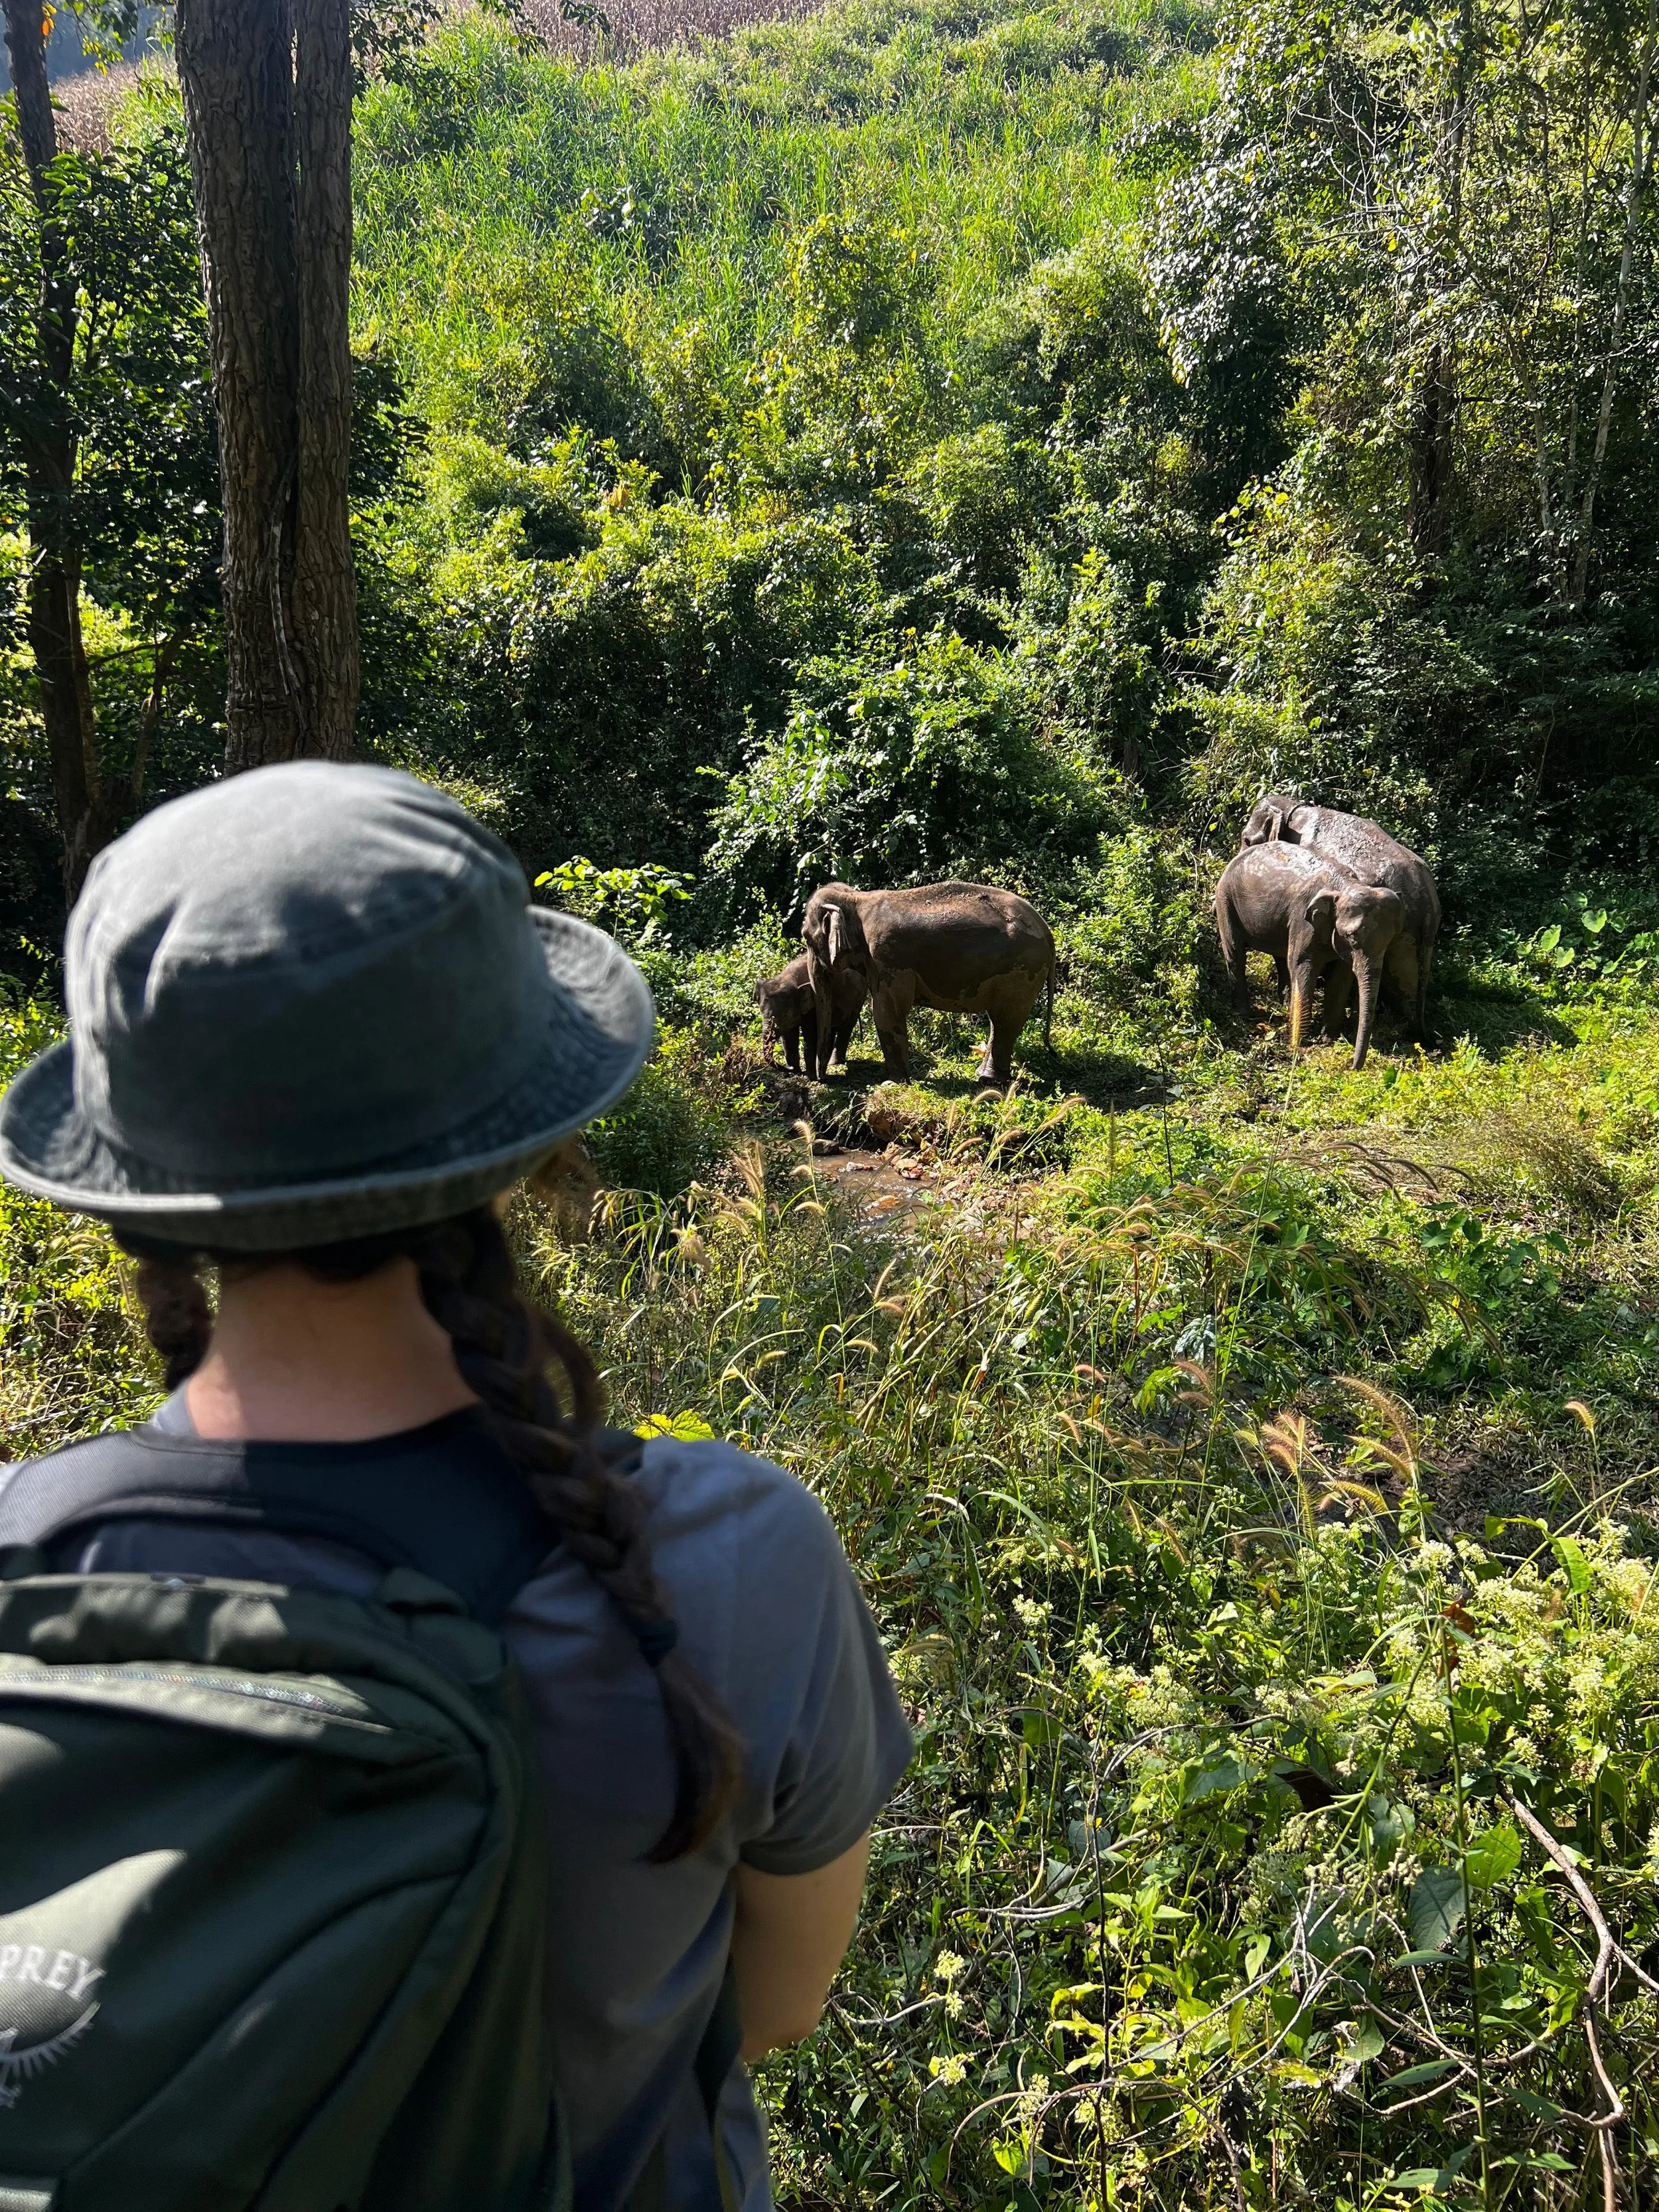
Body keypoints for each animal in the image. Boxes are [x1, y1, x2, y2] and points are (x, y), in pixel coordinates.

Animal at [754, 953, 865, 1075]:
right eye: (761, 1012)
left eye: (784, 1016)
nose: (789, 1068)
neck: (788, 978)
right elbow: (789, 1037)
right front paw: (794, 1073)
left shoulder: (815, 1004)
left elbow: (811, 1035)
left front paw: (808, 1076)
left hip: (858, 1001)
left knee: (846, 1028)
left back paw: (835, 1063)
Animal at [801, 880, 1055, 1085]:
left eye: (806, 937)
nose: (823, 1078)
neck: (856, 899)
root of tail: (1046, 929)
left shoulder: (886, 956)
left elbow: (885, 1013)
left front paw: (892, 1084)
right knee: (1000, 1021)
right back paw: (983, 1076)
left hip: (1022, 970)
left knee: (1005, 1020)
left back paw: (989, 1081)